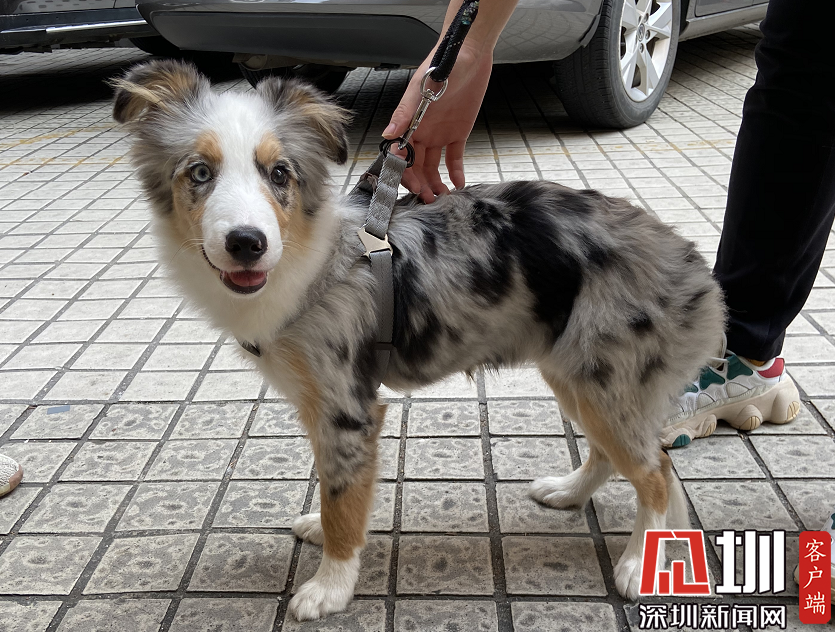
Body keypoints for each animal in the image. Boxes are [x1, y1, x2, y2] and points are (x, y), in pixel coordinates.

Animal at [112, 60, 725, 621]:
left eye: (280, 173)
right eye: (199, 172)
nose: (247, 242)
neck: (308, 259)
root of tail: (695, 267)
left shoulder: (347, 407)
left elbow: (343, 498)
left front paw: (330, 586)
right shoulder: (318, 406)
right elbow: (335, 486)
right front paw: (323, 530)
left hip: (608, 377)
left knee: (656, 471)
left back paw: (638, 562)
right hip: (578, 374)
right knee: (613, 453)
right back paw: (570, 493)